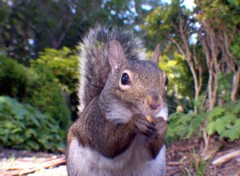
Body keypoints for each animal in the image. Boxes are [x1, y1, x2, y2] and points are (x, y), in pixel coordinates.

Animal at [65, 26, 169, 176]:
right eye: (124, 78)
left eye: (166, 80)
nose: (155, 103)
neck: (132, 111)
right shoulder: (98, 121)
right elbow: (108, 144)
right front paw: (134, 123)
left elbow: (151, 151)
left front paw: (161, 126)